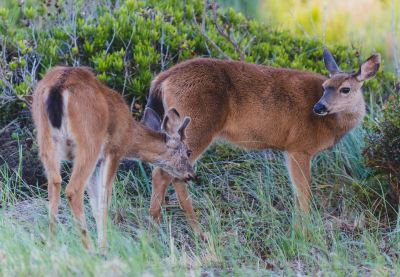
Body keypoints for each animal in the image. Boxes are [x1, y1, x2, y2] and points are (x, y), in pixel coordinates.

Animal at [32, 66, 195, 249]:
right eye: (188, 151)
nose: (191, 174)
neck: (130, 132)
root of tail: (59, 87)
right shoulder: (114, 151)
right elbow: (104, 200)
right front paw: (103, 246)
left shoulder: (98, 162)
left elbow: (95, 203)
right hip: (89, 143)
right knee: (73, 189)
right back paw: (88, 248)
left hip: (45, 140)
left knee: (54, 183)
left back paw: (51, 244)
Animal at [142, 48, 380, 237]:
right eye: (324, 86)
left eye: (345, 89)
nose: (319, 107)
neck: (331, 124)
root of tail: (161, 79)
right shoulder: (299, 147)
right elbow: (304, 193)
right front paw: (304, 233)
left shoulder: (290, 150)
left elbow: (297, 193)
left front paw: (298, 229)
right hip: (198, 125)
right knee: (163, 172)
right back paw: (176, 230)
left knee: (171, 173)